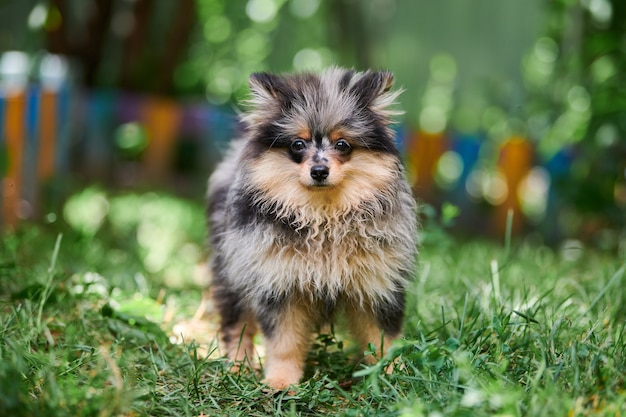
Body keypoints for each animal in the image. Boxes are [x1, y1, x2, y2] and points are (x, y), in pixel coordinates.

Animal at [207, 66, 416, 388]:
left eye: (342, 144)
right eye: (298, 144)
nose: (319, 170)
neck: (324, 215)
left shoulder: (377, 284)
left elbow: (382, 338)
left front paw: (392, 375)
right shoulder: (279, 283)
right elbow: (284, 342)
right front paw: (281, 382)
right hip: (232, 271)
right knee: (236, 323)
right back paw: (238, 367)